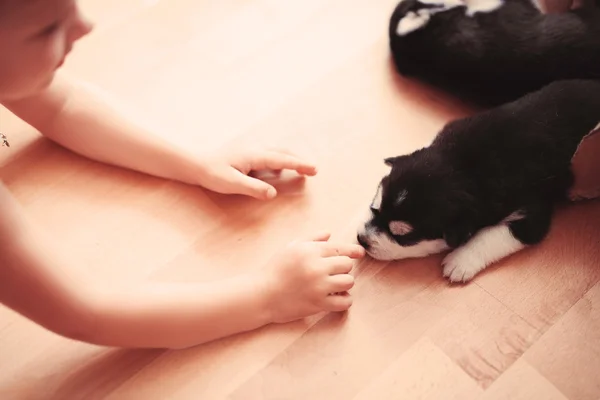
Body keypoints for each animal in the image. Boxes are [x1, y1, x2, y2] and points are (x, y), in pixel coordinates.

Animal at [356, 79, 600, 282]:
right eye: (375, 208)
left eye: (402, 236)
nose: (361, 239)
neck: (463, 166)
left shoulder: (532, 211)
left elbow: (493, 235)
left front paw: (460, 261)